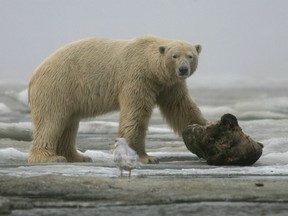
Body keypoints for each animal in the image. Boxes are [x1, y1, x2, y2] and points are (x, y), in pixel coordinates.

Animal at [28, 35, 207, 164]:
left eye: (190, 56)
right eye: (174, 56)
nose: (183, 69)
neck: (149, 65)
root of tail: (34, 74)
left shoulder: (169, 85)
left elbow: (181, 107)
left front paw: (205, 130)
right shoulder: (138, 78)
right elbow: (136, 114)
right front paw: (145, 157)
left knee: (69, 123)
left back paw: (78, 156)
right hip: (58, 86)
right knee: (52, 120)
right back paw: (49, 156)